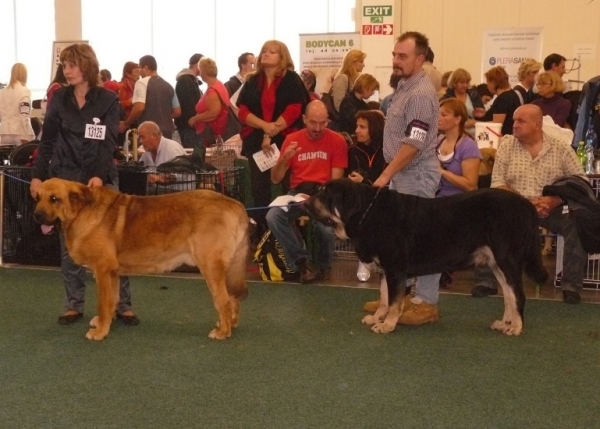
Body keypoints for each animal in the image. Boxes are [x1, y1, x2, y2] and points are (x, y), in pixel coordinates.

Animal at [33, 177, 248, 342]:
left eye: (54, 199)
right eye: (37, 198)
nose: (36, 216)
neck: (81, 211)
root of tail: (235, 204)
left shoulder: (102, 270)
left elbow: (103, 302)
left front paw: (100, 332)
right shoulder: (112, 273)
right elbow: (111, 301)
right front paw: (106, 323)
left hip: (210, 266)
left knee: (223, 300)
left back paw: (223, 331)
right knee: (232, 298)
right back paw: (230, 323)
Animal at [308, 179, 548, 336]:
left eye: (325, 193)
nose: (305, 203)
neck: (366, 213)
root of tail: (527, 204)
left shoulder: (395, 269)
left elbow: (394, 302)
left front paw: (388, 324)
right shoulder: (386, 270)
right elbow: (384, 299)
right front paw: (377, 318)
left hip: (507, 259)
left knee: (518, 295)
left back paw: (516, 327)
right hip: (496, 262)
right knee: (508, 295)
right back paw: (505, 322)